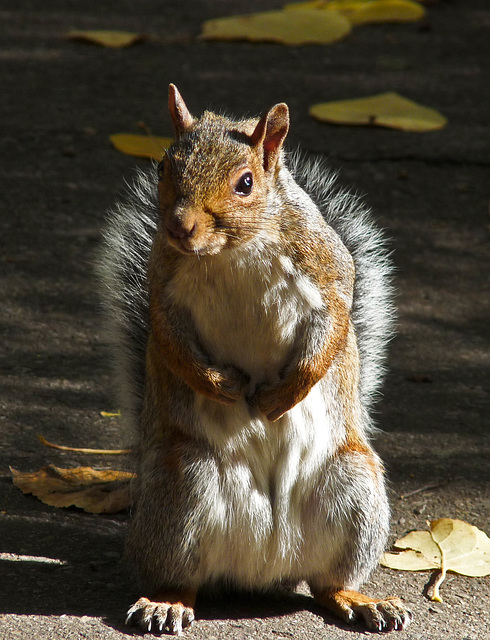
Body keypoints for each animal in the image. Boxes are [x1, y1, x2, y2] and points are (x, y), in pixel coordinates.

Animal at [97, 84, 412, 636]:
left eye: (246, 183)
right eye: (163, 167)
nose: (179, 227)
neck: (231, 249)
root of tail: (263, 569)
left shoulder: (328, 268)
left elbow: (332, 327)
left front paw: (280, 395)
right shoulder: (162, 287)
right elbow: (171, 342)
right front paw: (220, 384)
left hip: (355, 489)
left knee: (328, 582)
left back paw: (362, 600)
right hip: (183, 488)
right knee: (180, 574)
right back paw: (167, 602)